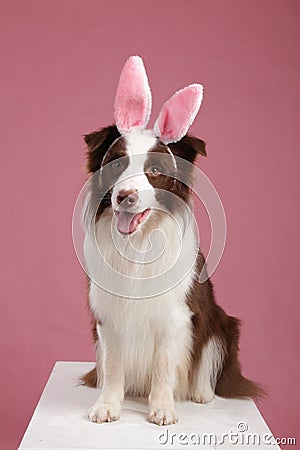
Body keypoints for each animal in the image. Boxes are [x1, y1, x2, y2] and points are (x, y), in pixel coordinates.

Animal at [79, 56, 262, 426]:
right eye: (115, 165)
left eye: (155, 171)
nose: (125, 196)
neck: (138, 245)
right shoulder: (108, 316)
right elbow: (113, 363)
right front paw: (108, 405)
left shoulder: (176, 314)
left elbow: (164, 364)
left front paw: (162, 407)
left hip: (223, 323)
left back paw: (201, 393)